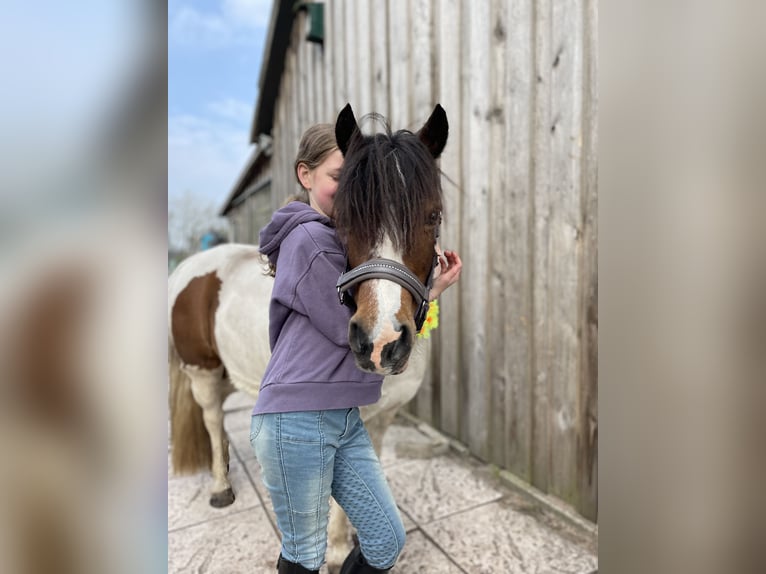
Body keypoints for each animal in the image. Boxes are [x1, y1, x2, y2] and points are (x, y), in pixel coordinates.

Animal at [166, 102, 448, 572]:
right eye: (344, 218)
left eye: (433, 216)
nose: (380, 342)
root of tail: (189, 267)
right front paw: (335, 550)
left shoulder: (381, 420)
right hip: (201, 372)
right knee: (209, 416)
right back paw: (221, 487)